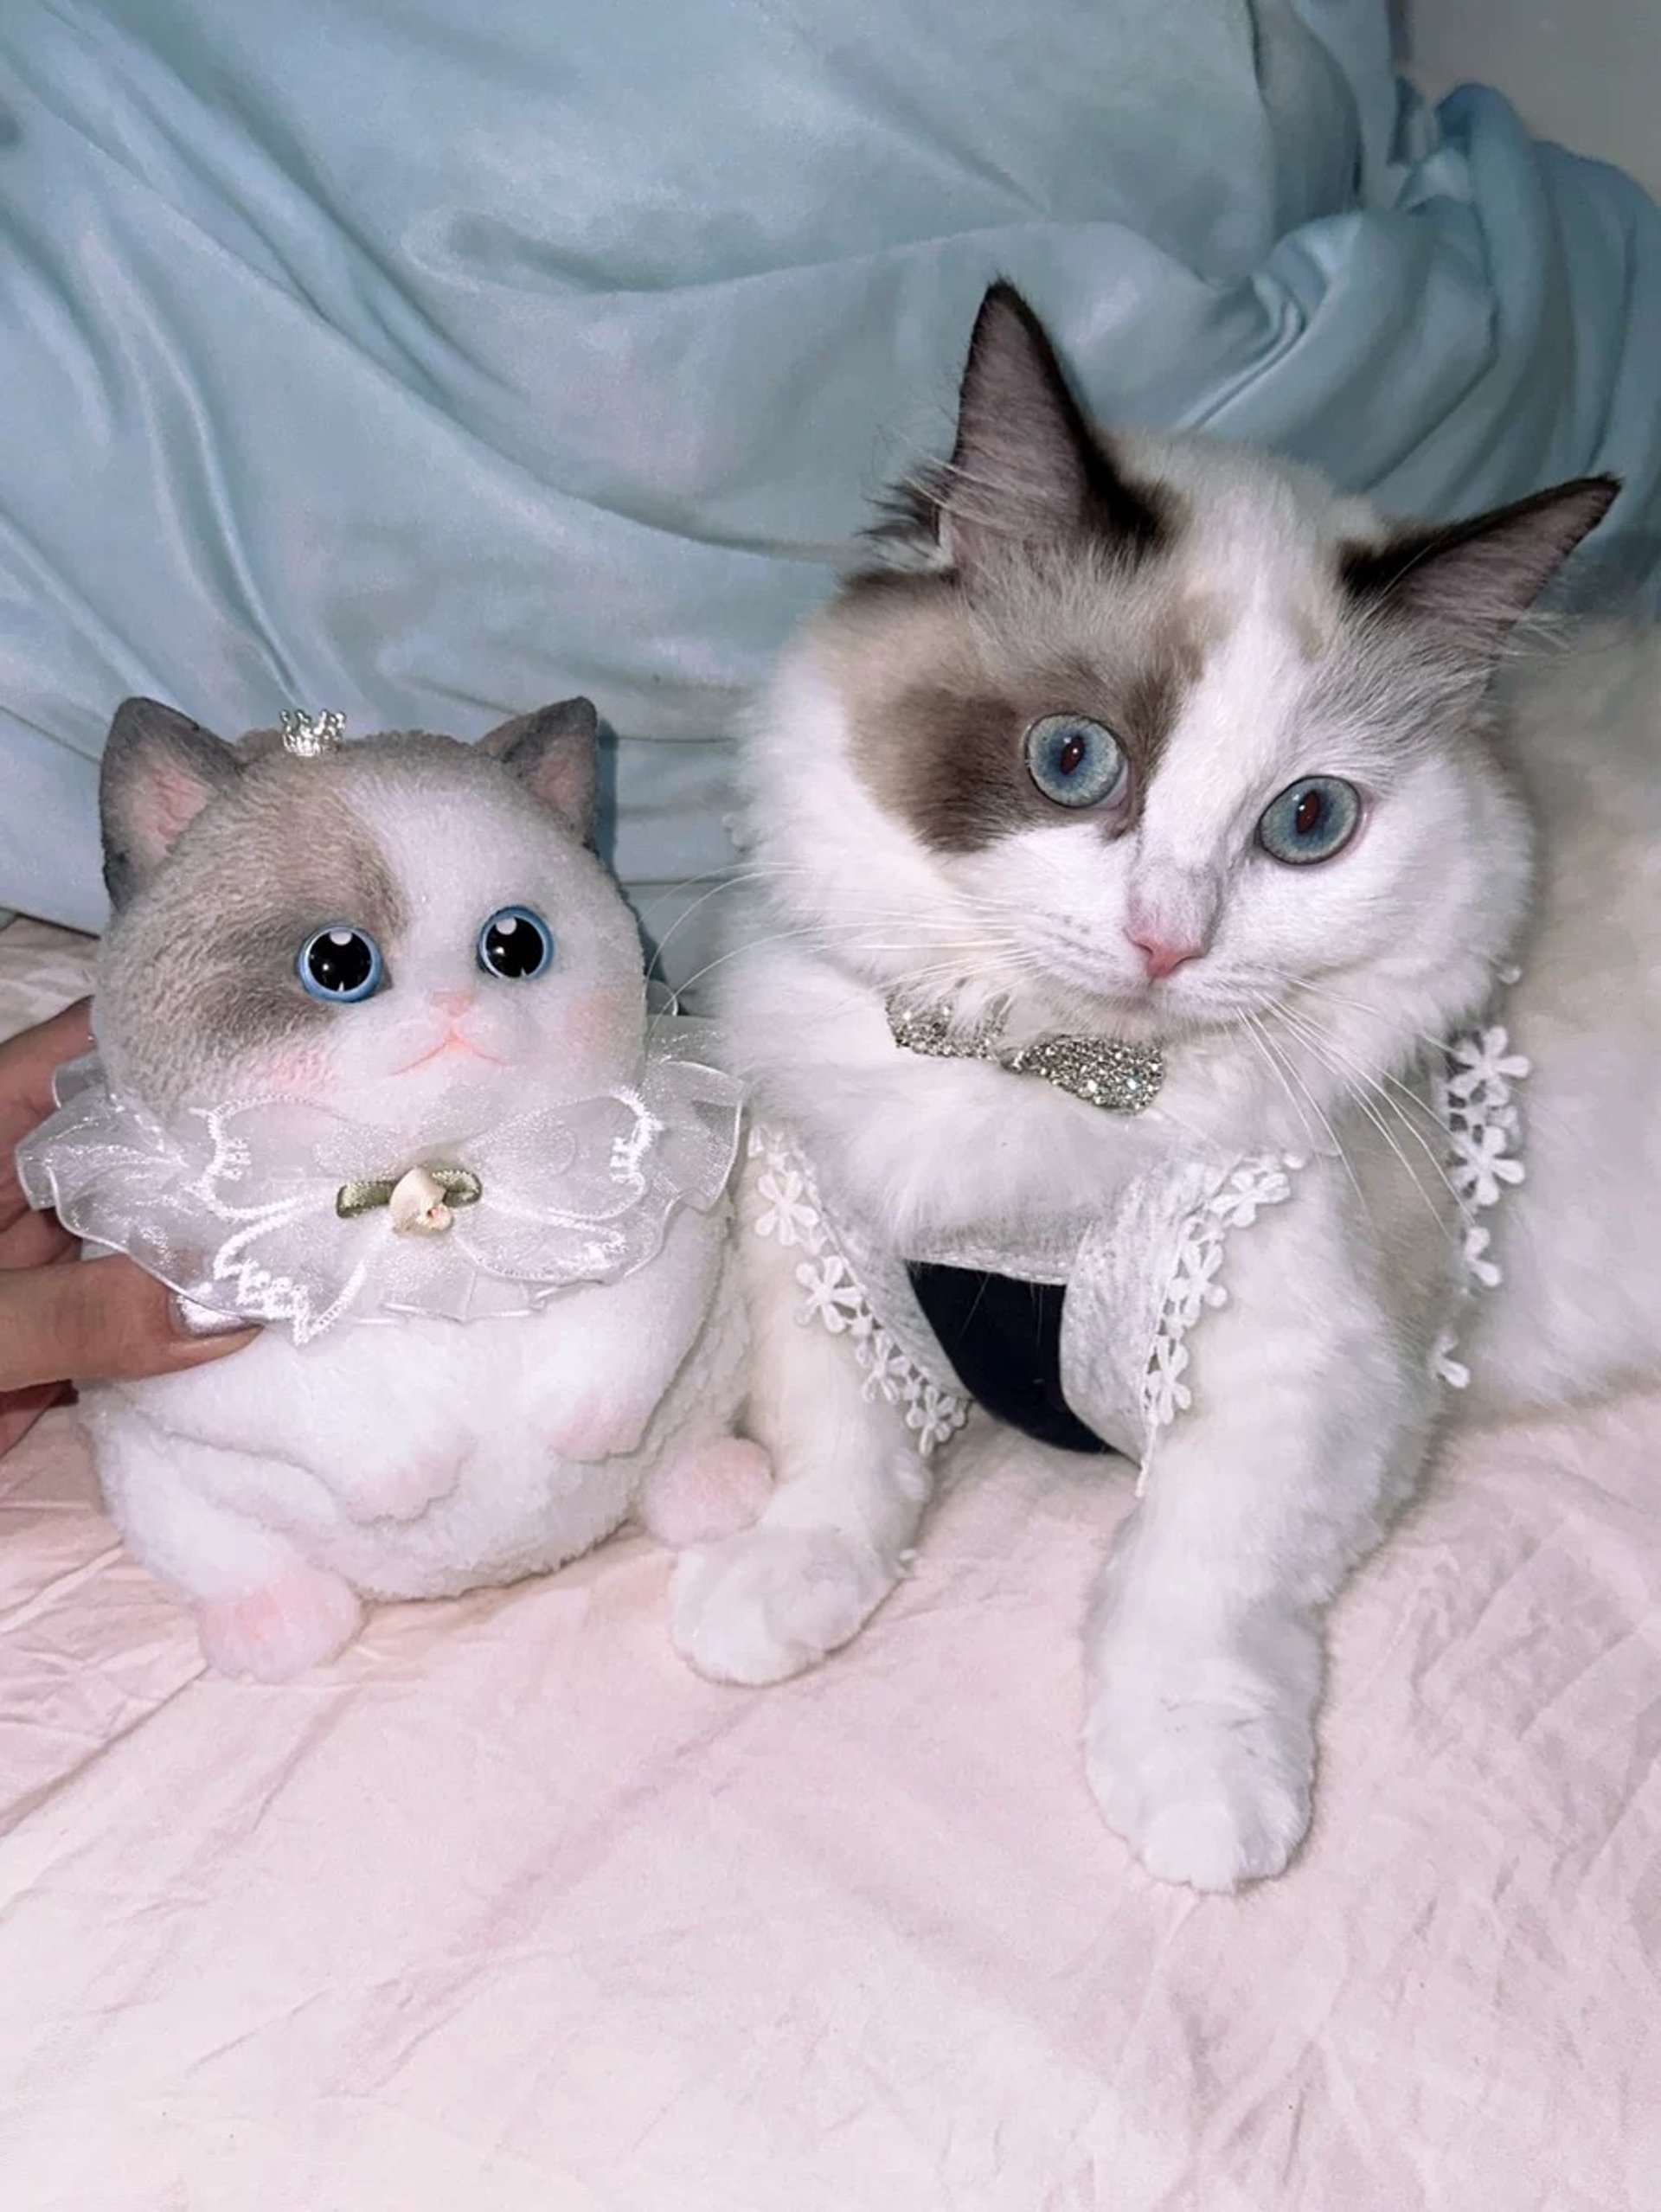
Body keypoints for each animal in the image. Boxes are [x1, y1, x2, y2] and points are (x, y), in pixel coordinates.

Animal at [19, 699, 765, 1681]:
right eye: (338, 962)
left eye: (515, 945)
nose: (456, 1004)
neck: (430, 1186)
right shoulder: (173, 1322)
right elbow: (300, 1396)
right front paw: (406, 1467)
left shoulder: (667, 1205)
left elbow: (636, 1315)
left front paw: (581, 1421)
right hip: (161, 1497)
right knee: (229, 1558)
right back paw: (276, 1618)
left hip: (708, 1389)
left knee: (683, 1454)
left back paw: (715, 1486)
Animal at [668, 285, 1661, 1893]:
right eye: (1073, 759)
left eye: (1308, 824)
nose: (1165, 939)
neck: (1046, 1075)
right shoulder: (821, 1245)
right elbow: (840, 1453)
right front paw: (769, 1595)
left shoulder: (1298, 1382)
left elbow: (1192, 1594)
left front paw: (1204, 1804)